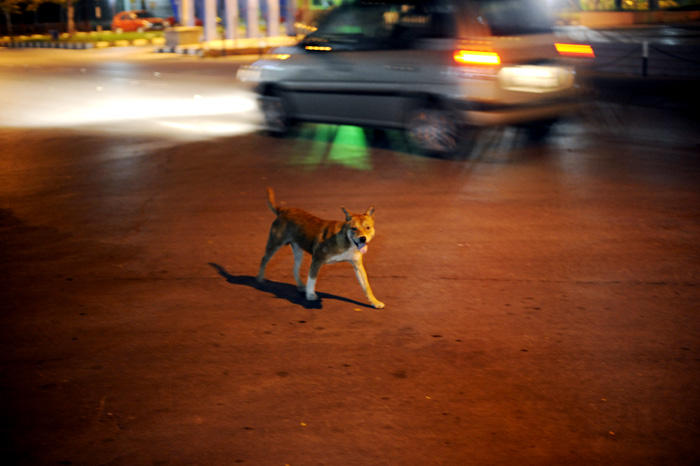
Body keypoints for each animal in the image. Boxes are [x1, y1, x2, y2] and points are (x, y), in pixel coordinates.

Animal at [256, 187, 386, 308]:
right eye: (354, 228)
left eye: (368, 227)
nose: (363, 239)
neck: (346, 241)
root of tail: (282, 210)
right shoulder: (317, 260)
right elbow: (312, 279)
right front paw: (310, 295)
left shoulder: (358, 266)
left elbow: (366, 286)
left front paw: (375, 302)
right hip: (275, 244)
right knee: (264, 259)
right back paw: (260, 279)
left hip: (298, 252)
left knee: (295, 268)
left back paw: (300, 286)